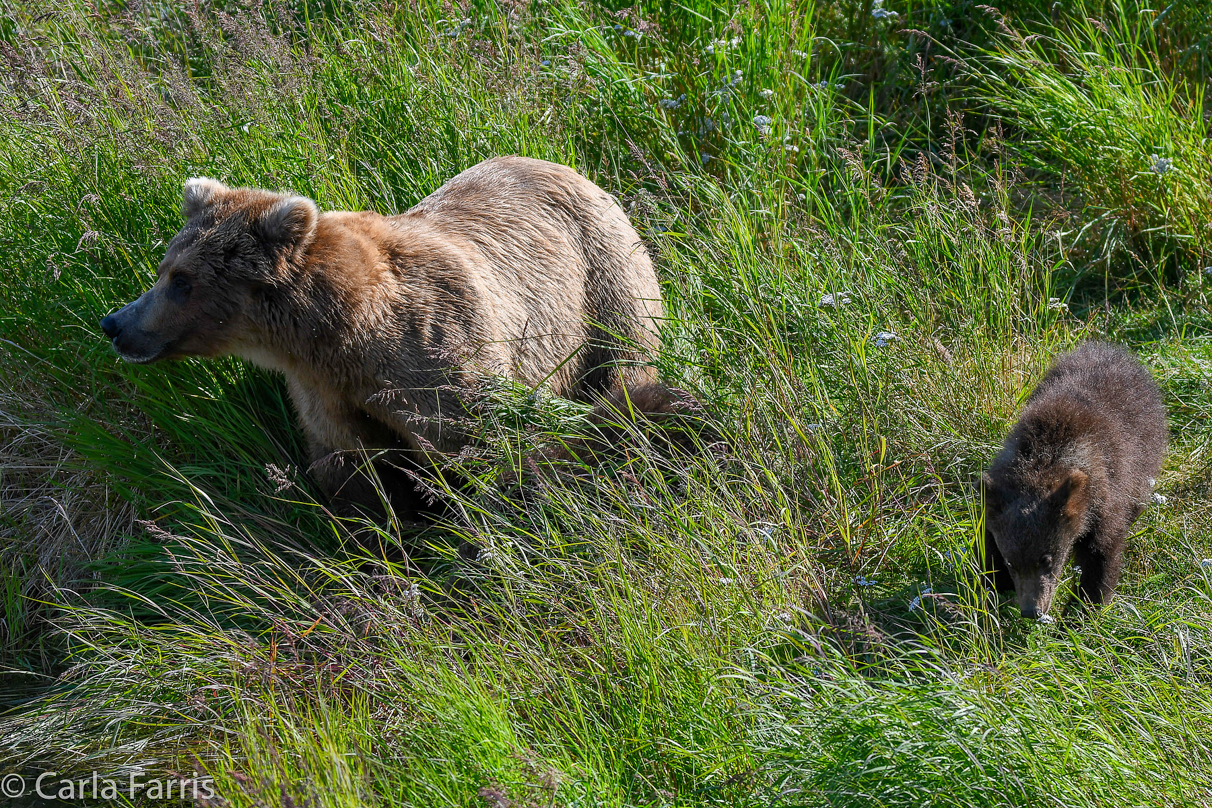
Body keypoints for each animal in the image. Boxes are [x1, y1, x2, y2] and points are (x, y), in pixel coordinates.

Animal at [101, 157, 683, 511]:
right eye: (165, 268)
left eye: (181, 281)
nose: (115, 324)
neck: (342, 334)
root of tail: (571, 169)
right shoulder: (325, 392)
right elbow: (357, 472)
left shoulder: (438, 356)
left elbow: (487, 450)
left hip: (602, 278)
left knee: (624, 365)